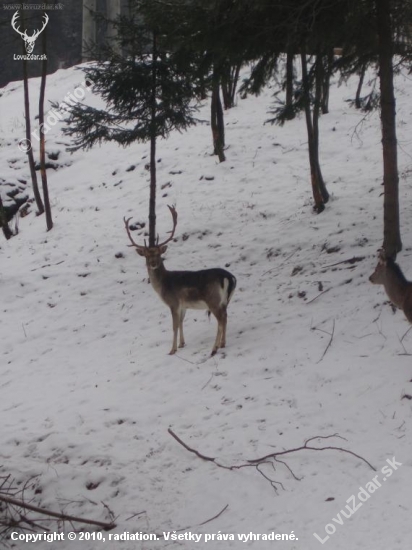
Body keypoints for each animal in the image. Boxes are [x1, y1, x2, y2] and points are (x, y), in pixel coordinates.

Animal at [124, 207, 237, 358]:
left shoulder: (173, 303)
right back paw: (223, 344)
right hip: (224, 301)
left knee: (220, 320)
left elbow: (174, 325)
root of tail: (229, 278)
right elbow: (181, 322)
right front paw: (181, 344)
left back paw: (214, 349)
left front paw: (172, 350)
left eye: (159, 254)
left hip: (213, 300)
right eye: (146, 255)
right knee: (225, 317)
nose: (153, 264)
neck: (163, 285)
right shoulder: (183, 305)